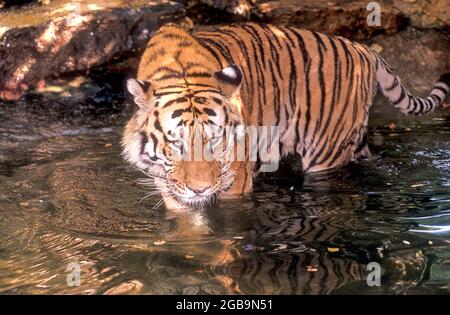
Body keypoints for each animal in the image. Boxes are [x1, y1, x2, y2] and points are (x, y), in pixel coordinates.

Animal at [121, 22, 448, 210]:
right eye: (176, 143)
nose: (199, 189)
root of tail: (364, 49)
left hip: (326, 151)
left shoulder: (235, 181)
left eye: (215, 141)